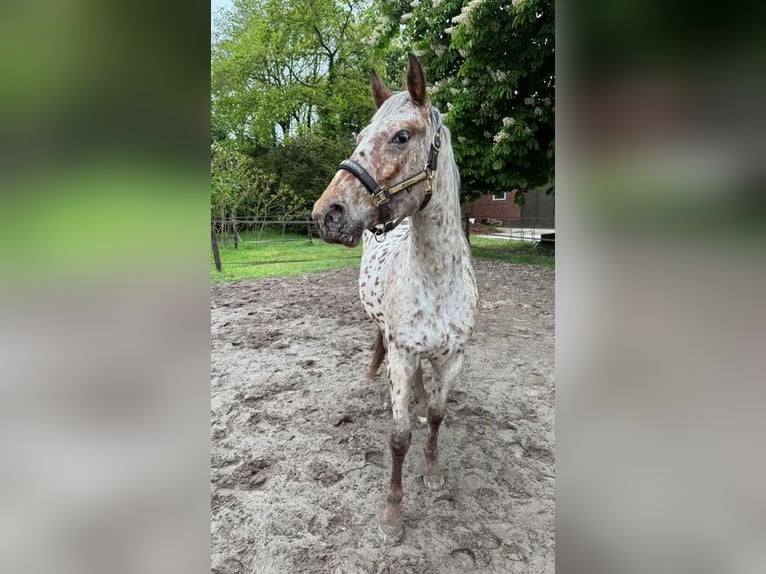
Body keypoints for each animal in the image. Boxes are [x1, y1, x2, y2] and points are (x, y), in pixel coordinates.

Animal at [312, 53, 478, 544]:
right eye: (359, 138)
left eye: (402, 136)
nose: (327, 214)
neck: (436, 279)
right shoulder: (403, 354)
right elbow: (399, 437)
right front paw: (392, 515)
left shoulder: (452, 356)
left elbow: (439, 416)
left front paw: (435, 475)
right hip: (382, 328)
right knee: (378, 340)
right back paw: (371, 375)